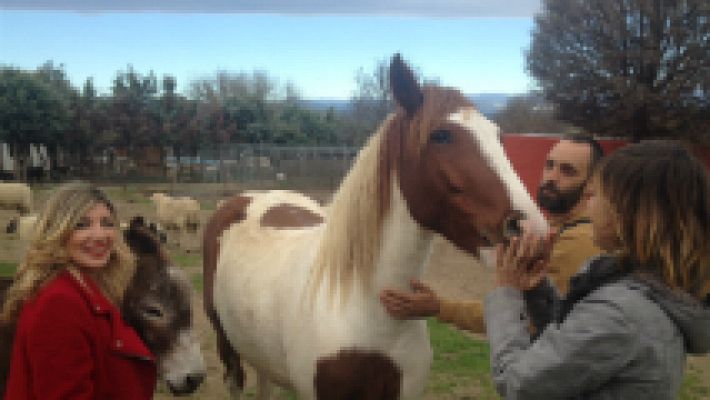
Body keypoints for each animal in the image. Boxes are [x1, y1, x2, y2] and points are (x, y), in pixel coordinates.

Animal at [203, 54, 548, 400]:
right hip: (226, 346)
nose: (532, 233)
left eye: (498, 137)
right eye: (440, 135)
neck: (370, 315)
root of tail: (249, 198)